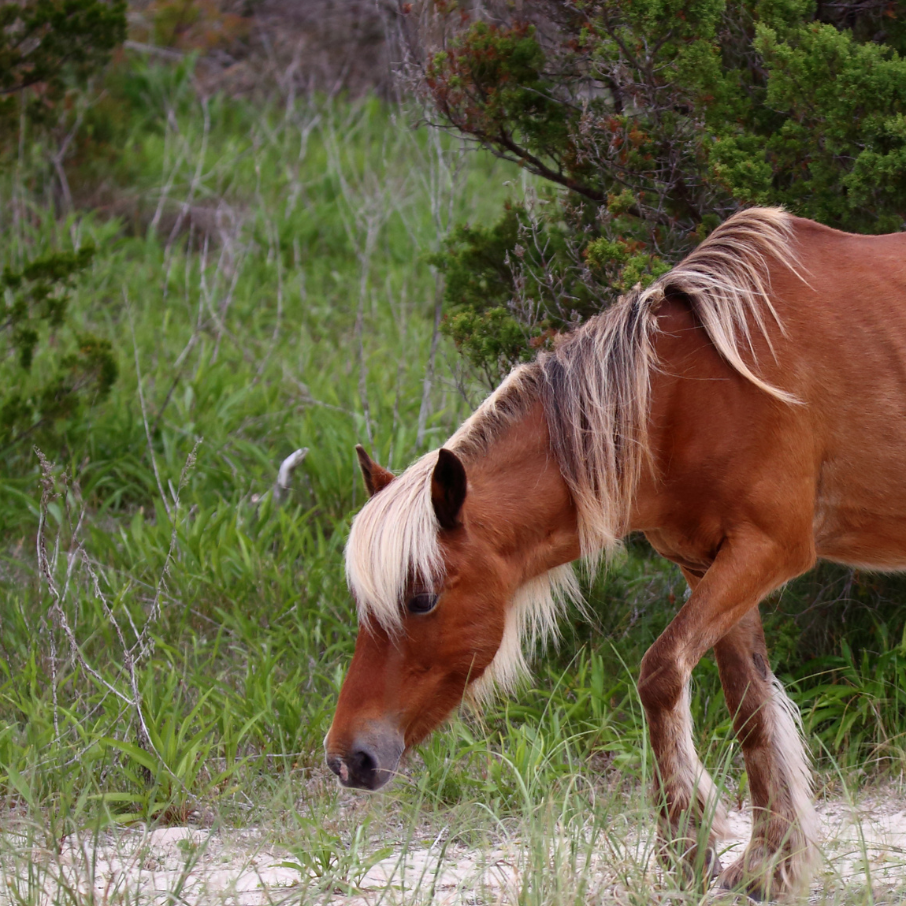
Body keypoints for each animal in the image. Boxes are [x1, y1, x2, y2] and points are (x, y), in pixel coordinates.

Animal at [328, 210, 904, 896]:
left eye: (421, 599)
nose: (348, 759)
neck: (688, 392)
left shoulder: (768, 549)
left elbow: (660, 674)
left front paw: (688, 842)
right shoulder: (710, 564)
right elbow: (751, 707)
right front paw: (770, 861)